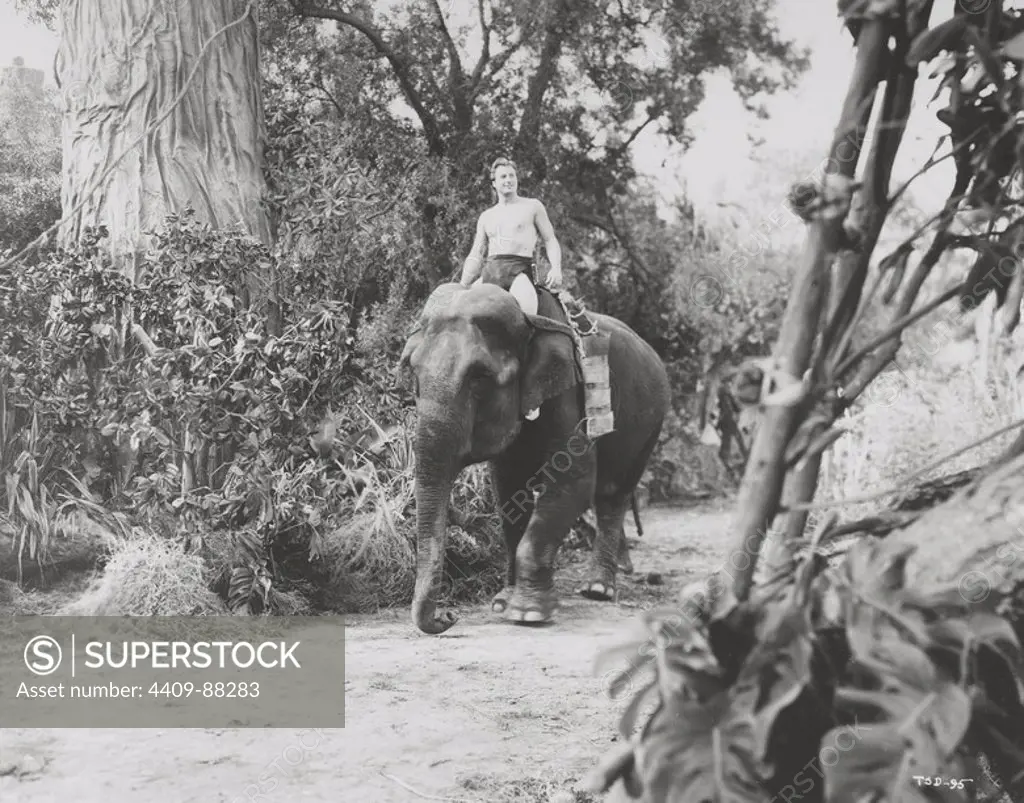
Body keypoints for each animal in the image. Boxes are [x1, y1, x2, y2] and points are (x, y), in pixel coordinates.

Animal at [399, 280, 671, 635]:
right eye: (413, 372)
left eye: (479, 378)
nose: (449, 616)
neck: (530, 321)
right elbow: (509, 491)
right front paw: (503, 603)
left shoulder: (567, 391)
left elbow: (574, 481)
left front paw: (528, 613)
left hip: (650, 425)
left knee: (613, 494)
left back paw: (598, 589)